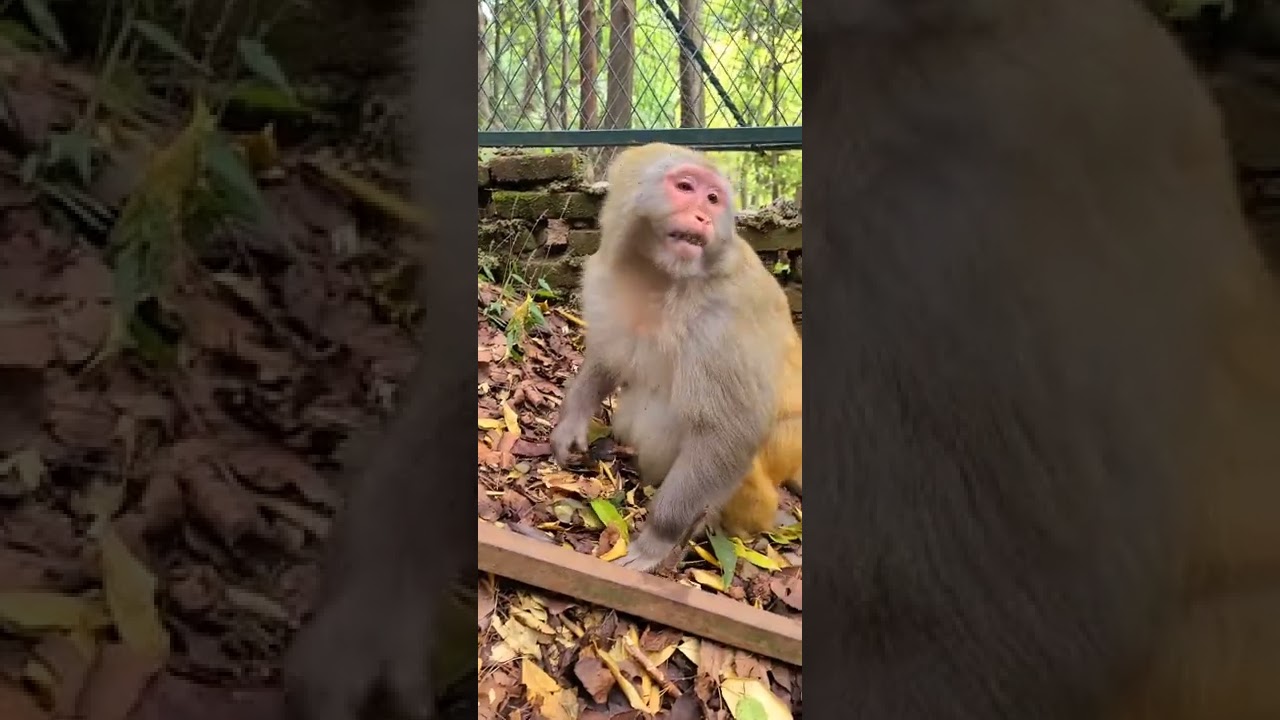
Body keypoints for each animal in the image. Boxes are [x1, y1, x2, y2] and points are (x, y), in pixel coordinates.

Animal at [550, 142, 802, 571]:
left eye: (713, 199)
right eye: (685, 187)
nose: (702, 216)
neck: (658, 273)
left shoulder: (721, 321)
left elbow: (731, 430)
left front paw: (657, 539)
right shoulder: (604, 275)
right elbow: (608, 356)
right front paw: (573, 422)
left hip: (785, 444)